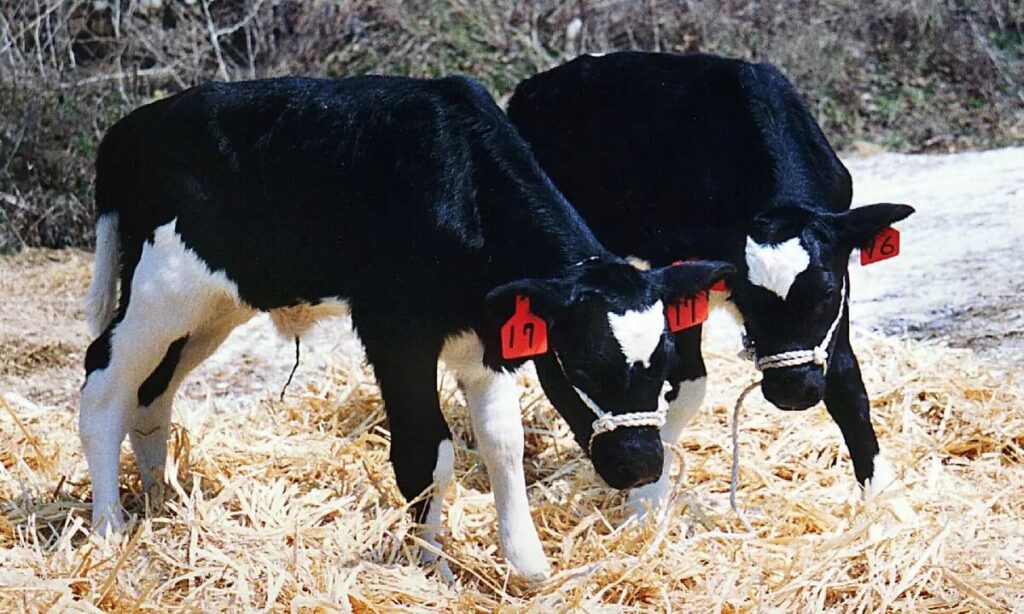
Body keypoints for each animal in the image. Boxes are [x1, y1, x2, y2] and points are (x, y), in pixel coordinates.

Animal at [80, 74, 733, 579]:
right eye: (584, 364)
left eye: (667, 369)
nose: (643, 465)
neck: (463, 184)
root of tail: (126, 131)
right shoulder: (396, 334)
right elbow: (428, 454)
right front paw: (430, 567)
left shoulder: (485, 341)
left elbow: (502, 443)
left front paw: (526, 562)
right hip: (159, 291)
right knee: (103, 384)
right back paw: (109, 529)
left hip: (210, 309)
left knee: (152, 394)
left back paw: (163, 502)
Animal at [507, 52, 915, 515]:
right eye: (749, 299)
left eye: (825, 294)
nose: (793, 391)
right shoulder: (679, 277)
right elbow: (689, 383)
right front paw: (646, 497)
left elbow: (846, 378)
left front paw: (886, 498)